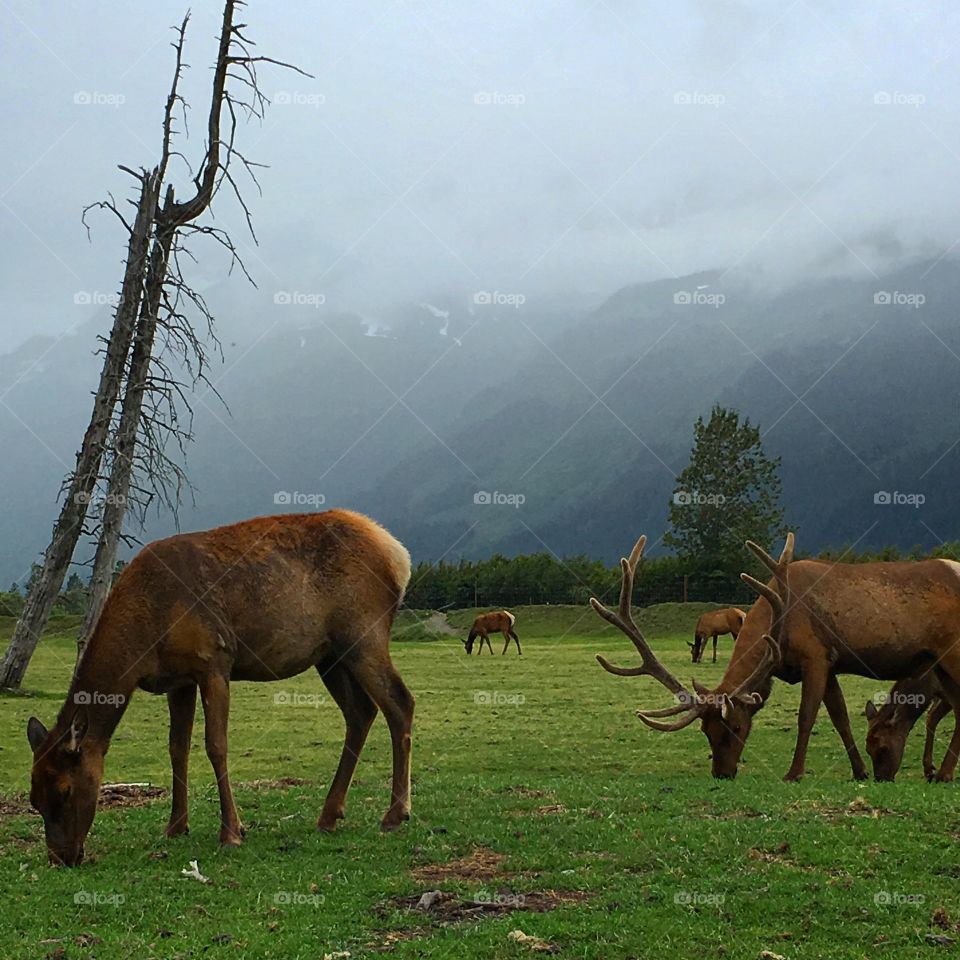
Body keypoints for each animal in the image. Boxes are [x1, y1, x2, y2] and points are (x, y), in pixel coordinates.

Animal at [26, 512, 414, 868]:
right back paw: (330, 815)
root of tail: (400, 556)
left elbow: (216, 745)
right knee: (361, 711)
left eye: (65, 790)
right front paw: (175, 826)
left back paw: (395, 814)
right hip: (331, 655)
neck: (145, 640)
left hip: (363, 635)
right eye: (34, 798)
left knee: (400, 703)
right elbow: (177, 747)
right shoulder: (178, 679)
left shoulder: (214, 660)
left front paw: (231, 832)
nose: (60, 858)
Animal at [588, 536, 960, 784]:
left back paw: (941, 773)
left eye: (736, 728)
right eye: (706, 731)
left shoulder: (815, 656)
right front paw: (860, 771)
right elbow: (840, 717)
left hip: (952, 655)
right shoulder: (830, 662)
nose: (721, 773)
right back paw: (942, 772)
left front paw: (794, 773)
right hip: (940, 665)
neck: (778, 625)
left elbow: (807, 717)